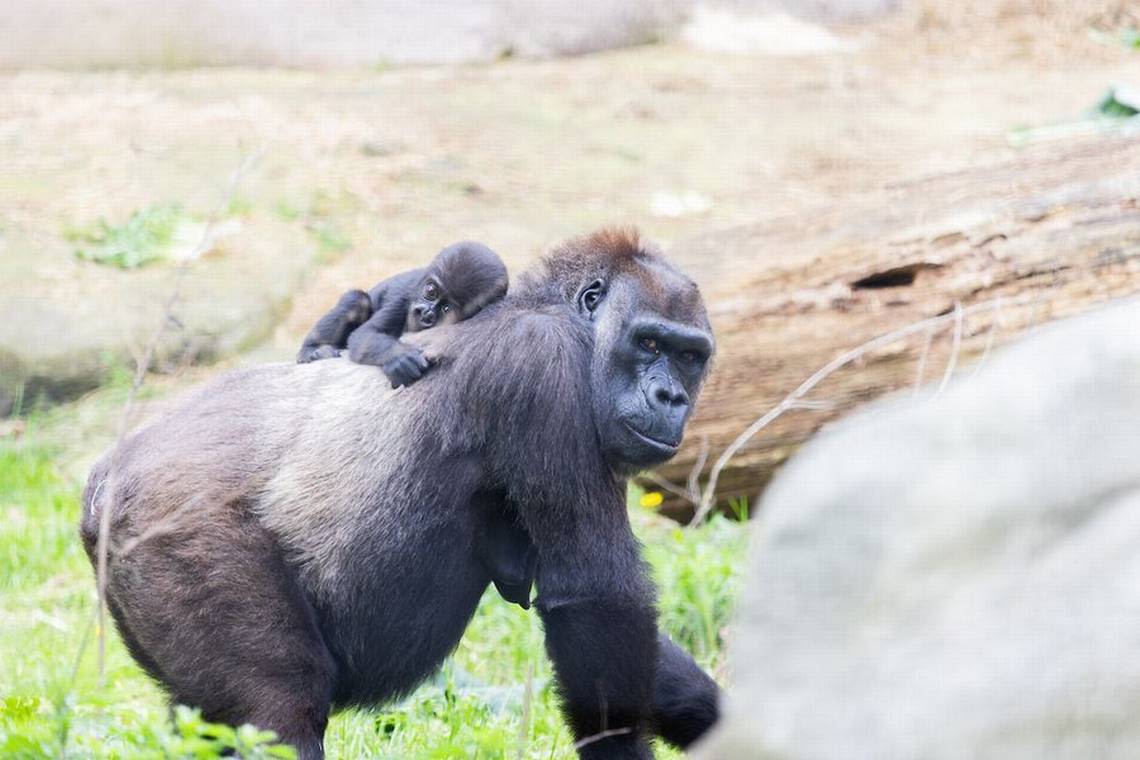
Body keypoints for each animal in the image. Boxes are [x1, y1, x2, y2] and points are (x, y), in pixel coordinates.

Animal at [298, 242, 508, 387]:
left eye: (447, 309)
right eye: (431, 291)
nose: (425, 312)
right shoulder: (402, 300)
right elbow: (365, 335)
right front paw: (400, 357)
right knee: (356, 301)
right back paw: (311, 348)